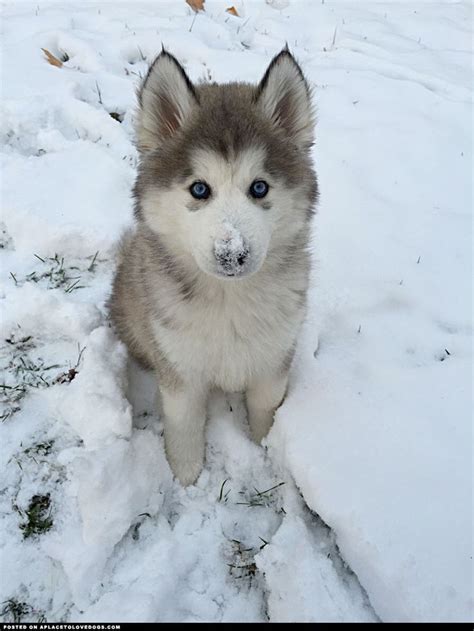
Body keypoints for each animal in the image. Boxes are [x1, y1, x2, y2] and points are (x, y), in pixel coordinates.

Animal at [110, 49, 318, 486]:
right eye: (199, 189)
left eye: (259, 187)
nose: (232, 254)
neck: (229, 300)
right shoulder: (180, 368)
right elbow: (184, 424)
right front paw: (186, 474)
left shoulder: (274, 357)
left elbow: (266, 408)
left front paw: (266, 447)